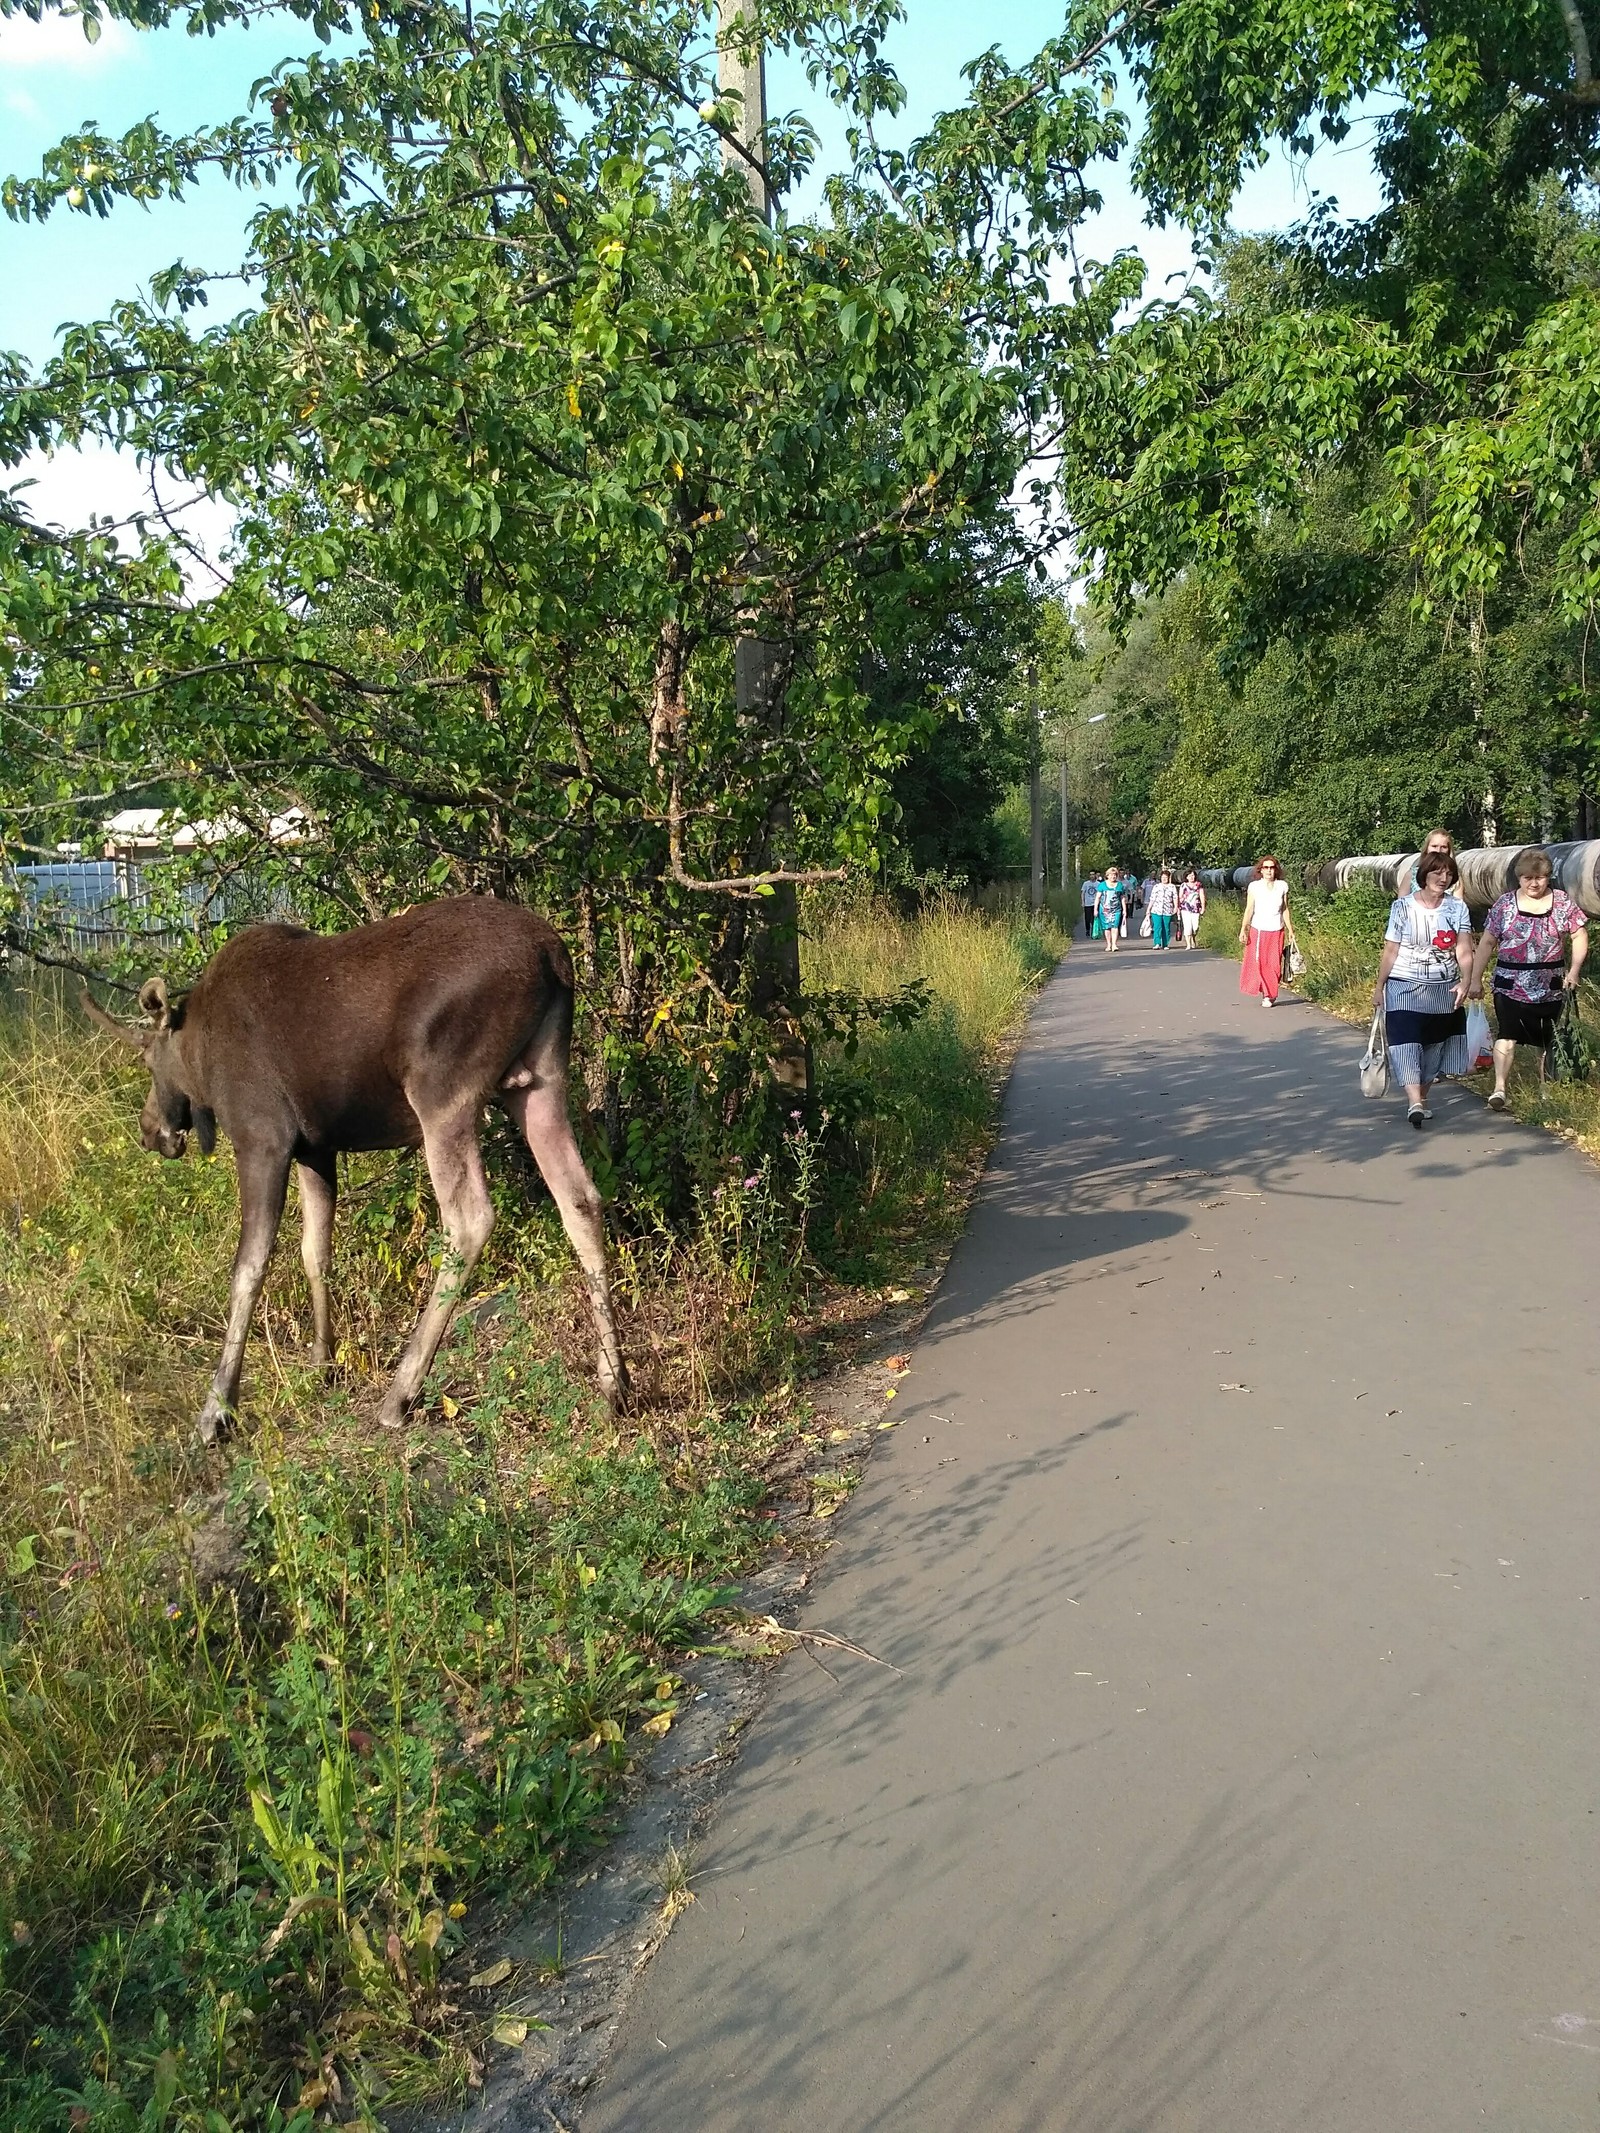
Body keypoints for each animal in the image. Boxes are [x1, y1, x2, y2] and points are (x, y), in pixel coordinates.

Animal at [83, 891, 627, 1441]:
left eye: (147, 1058)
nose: (149, 1130)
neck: (198, 1058)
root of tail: (554, 956)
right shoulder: (315, 1148)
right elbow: (315, 1251)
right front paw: (323, 1362)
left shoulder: (264, 1139)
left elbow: (249, 1267)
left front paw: (218, 1408)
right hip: (539, 1080)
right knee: (580, 1198)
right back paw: (614, 1384)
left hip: (442, 1093)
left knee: (469, 1219)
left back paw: (400, 1393)